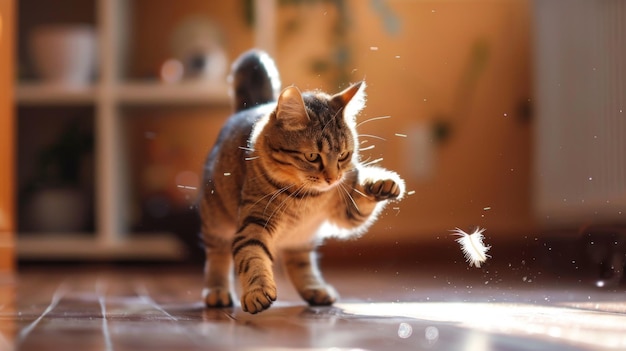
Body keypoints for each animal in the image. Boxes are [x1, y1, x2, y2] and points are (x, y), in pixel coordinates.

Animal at [200, 48, 404, 314]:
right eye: (312, 157)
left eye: (343, 155)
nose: (332, 178)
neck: (309, 197)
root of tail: (252, 106)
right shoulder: (255, 221)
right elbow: (252, 256)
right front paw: (257, 291)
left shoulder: (348, 210)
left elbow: (363, 199)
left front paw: (383, 182)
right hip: (216, 221)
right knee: (217, 255)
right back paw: (217, 291)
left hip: (303, 237)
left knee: (299, 261)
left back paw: (315, 289)